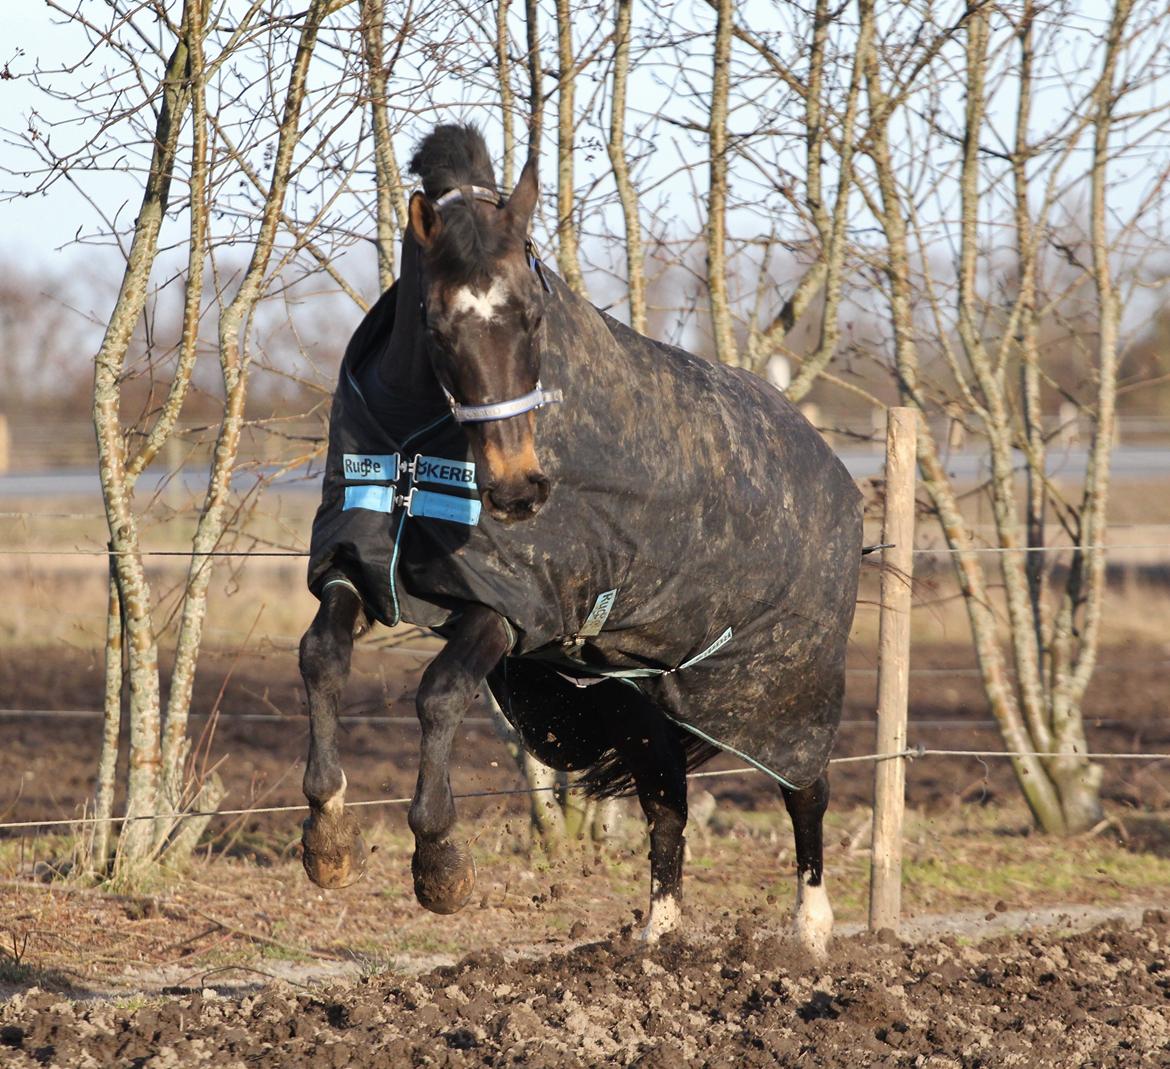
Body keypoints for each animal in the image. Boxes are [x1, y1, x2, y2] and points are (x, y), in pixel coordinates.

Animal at [294, 121, 861, 954]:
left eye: (533, 314)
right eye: (437, 322)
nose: (516, 488)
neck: (411, 456)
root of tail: (836, 472)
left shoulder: (508, 609)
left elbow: (439, 693)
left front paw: (440, 864)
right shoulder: (356, 570)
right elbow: (322, 656)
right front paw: (327, 840)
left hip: (785, 684)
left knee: (806, 788)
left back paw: (812, 930)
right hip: (643, 690)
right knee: (667, 804)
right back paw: (656, 937)